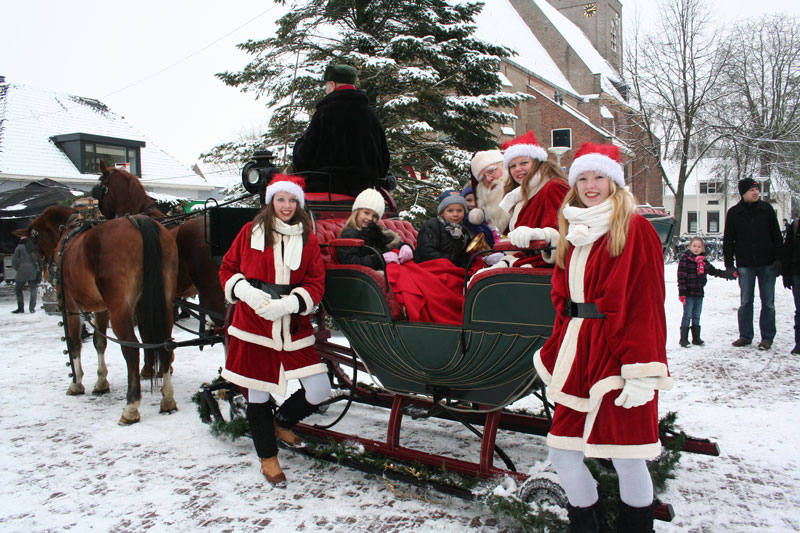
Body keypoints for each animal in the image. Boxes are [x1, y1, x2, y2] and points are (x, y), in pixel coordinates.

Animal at [28, 205, 180, 424]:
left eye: (35, 245)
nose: (47, 272)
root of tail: (138, 221)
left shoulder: (69, 305)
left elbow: (74, 342)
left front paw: (76, 382)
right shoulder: (102, 308)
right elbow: (99, 341)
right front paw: (101, 381)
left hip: (120, 308)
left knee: (131, 349)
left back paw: (131, 406)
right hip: (162, 303)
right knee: (165, 343)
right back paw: (167, 399)